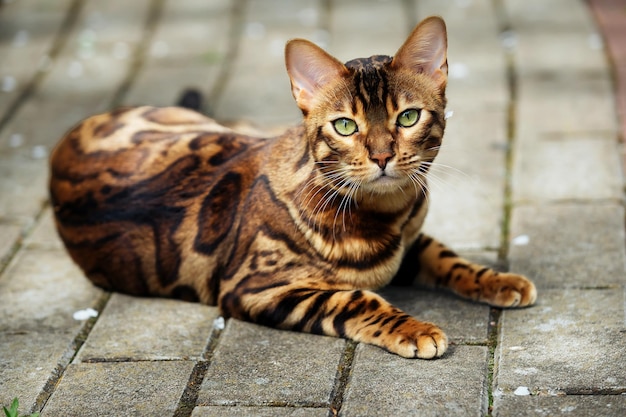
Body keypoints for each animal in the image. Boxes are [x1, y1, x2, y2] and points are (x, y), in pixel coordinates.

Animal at [50, 16, 536, 358]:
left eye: (408, 117)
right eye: (345, 126)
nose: (382, 156)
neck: (388, 213)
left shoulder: (411, 242)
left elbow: (449, 258)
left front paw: (501, 280)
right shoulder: (257, 287)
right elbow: (357, 299)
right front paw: (416, 329)